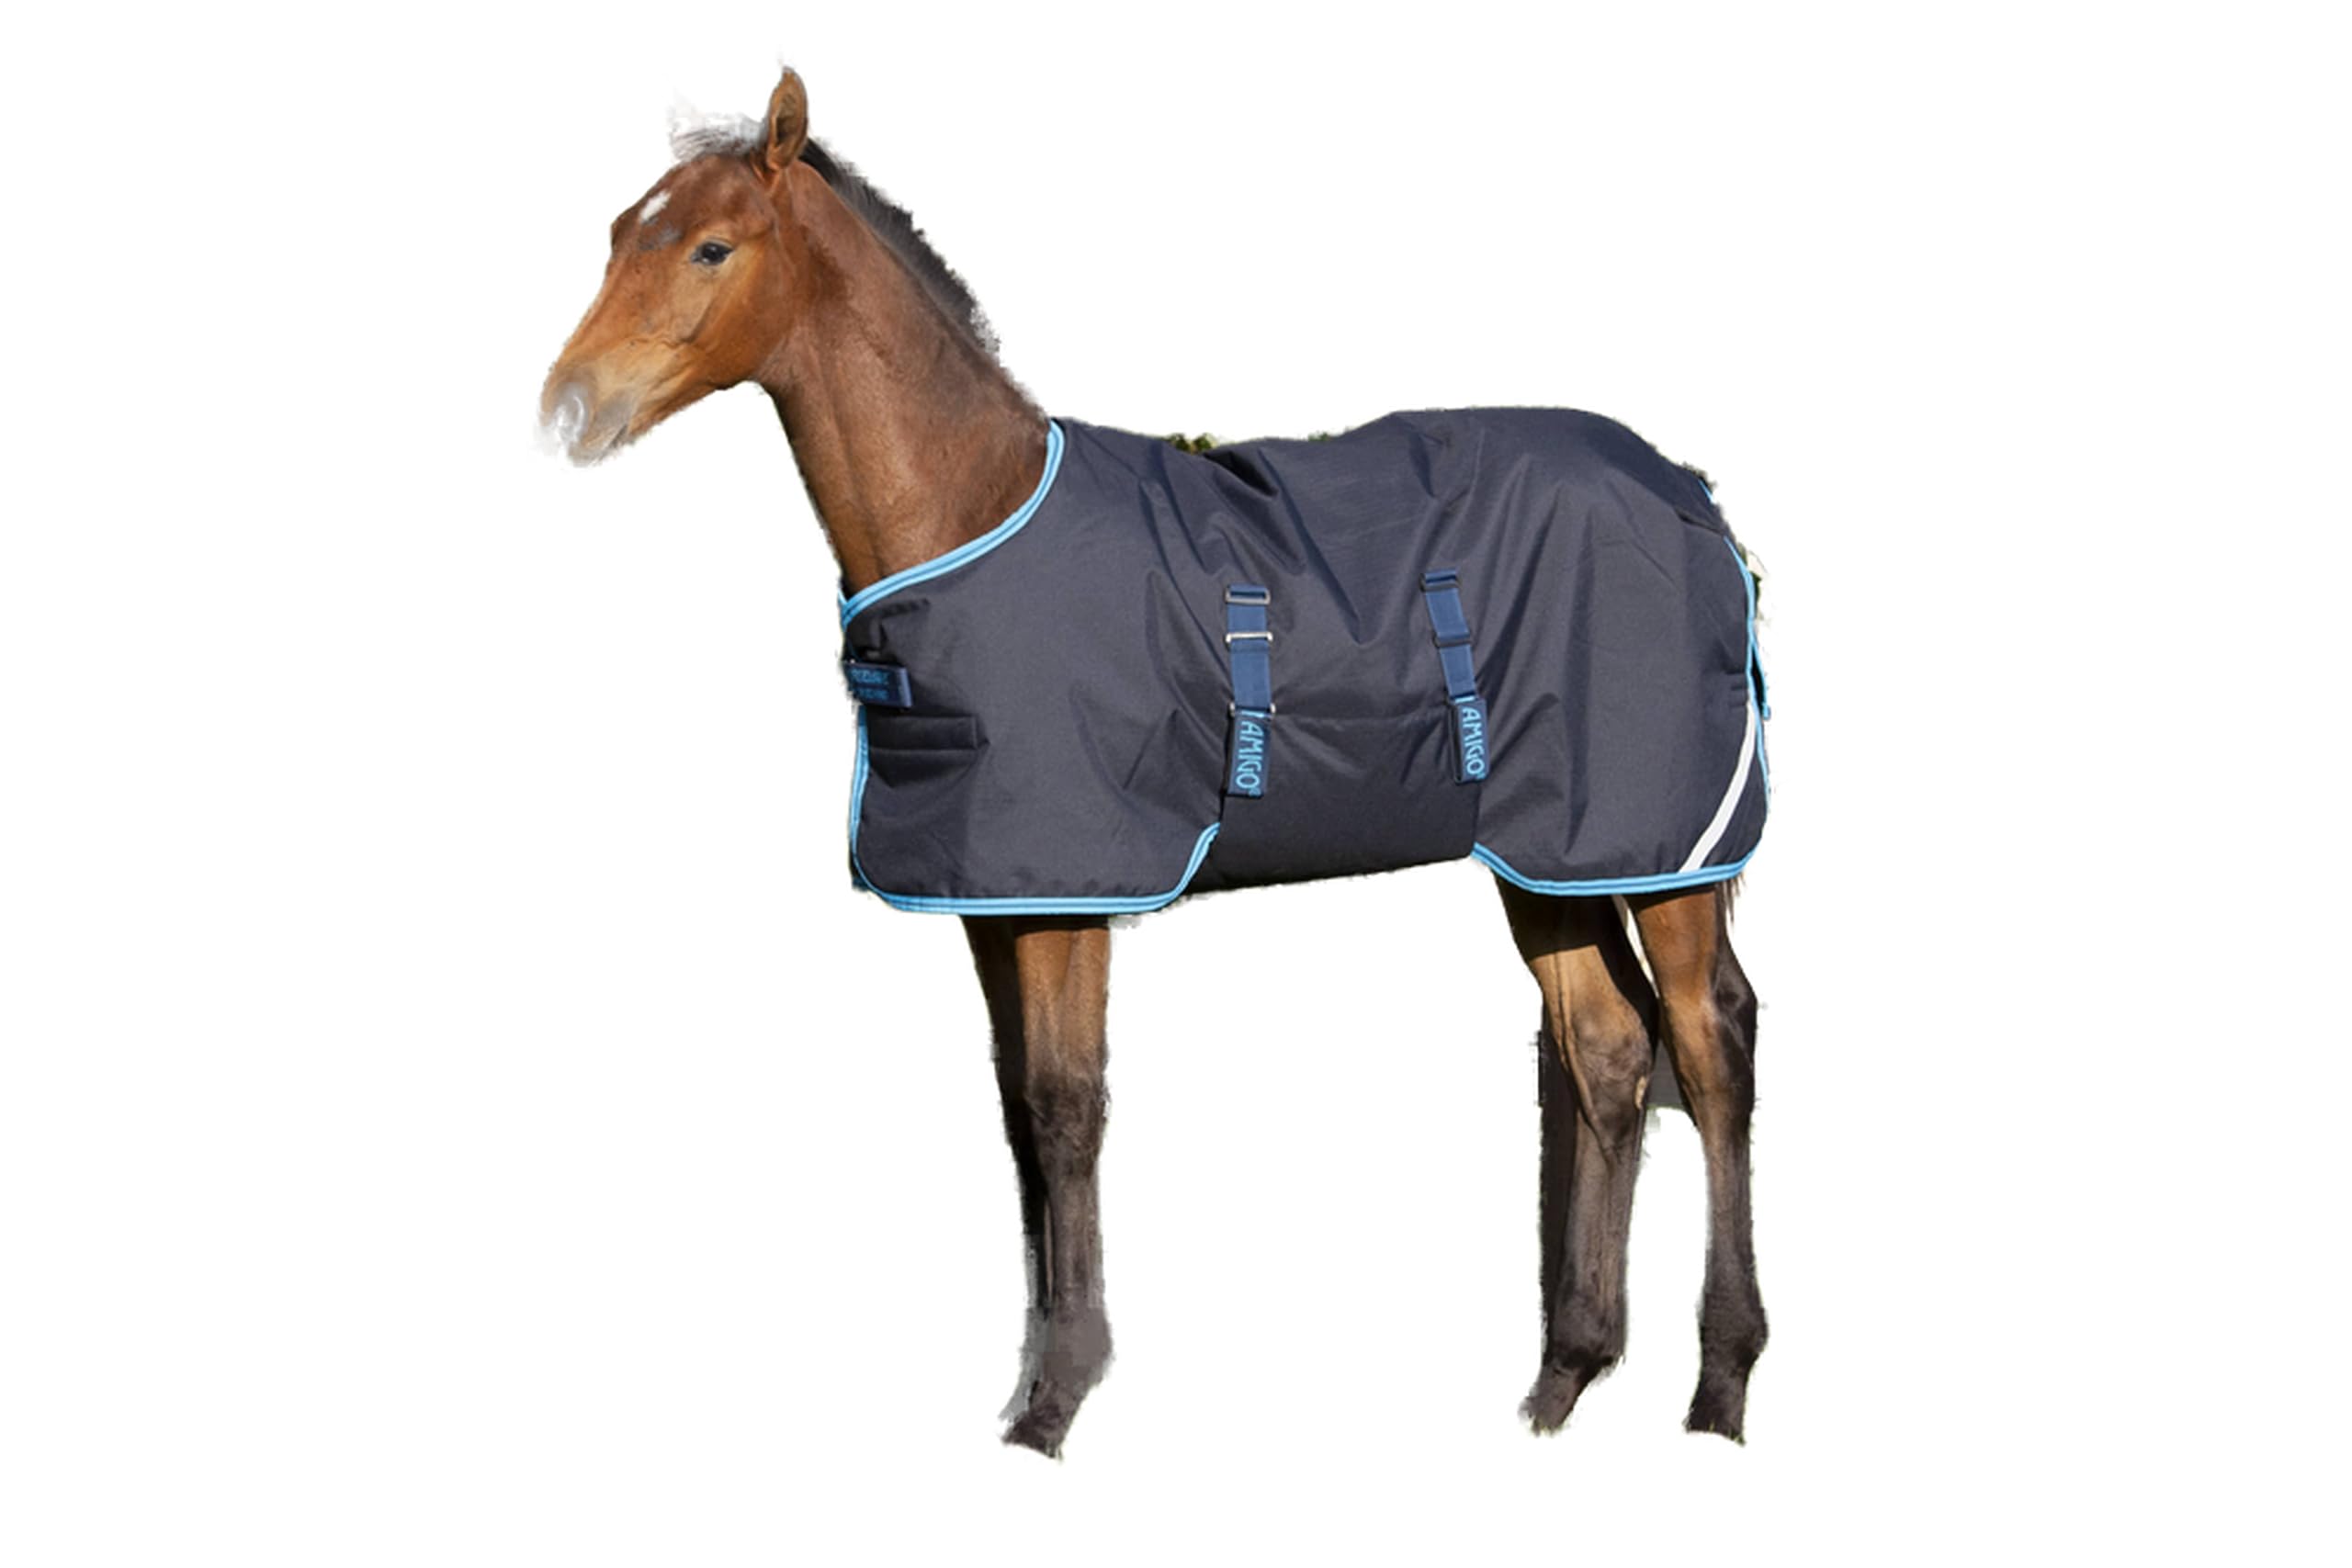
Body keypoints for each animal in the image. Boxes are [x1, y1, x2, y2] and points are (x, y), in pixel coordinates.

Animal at [540, 67, 1768, 1457]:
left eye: (709, 246)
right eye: (615, 236)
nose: (570, 406)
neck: (972, 512)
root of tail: (1688, 492)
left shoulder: (1073, 893)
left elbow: (1069, 1108)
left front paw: (1055, 1402)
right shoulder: (996, 899)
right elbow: (1018, 1115)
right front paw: (1031, 1382)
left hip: (1663, 845)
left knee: (1710, 1046)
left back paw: (1719, 1386)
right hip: (1551, 856)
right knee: (1607, 1051)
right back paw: (1562, 1379)